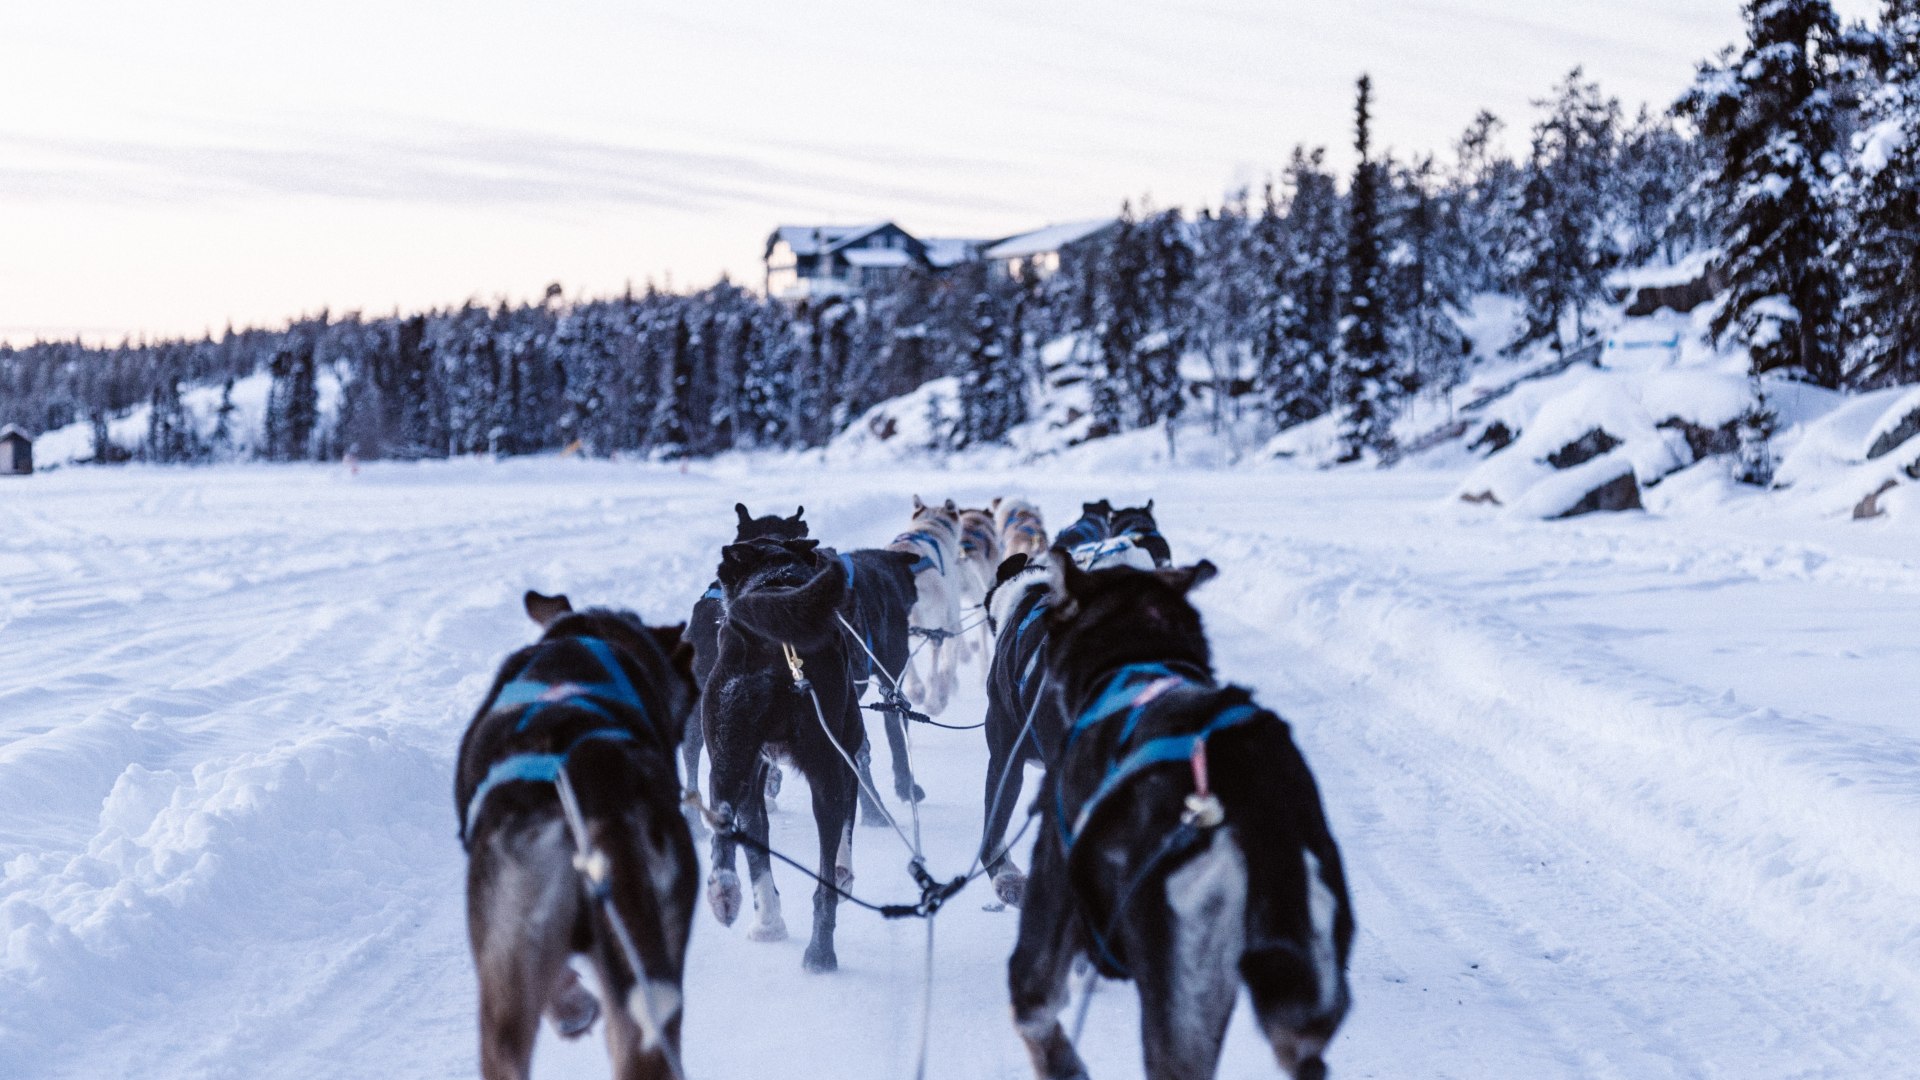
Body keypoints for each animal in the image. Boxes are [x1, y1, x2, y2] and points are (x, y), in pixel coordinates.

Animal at [706, 534, 864, 972]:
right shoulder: (849, 755)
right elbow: (846, 832)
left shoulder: (753, 777)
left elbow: (757, 851)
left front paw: (768, 923)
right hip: (826, 768)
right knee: (824, 885)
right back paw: (821, 952)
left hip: (726, 758)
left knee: (722, 822)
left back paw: (724, 892)